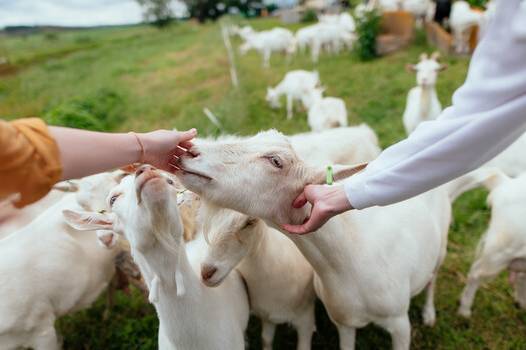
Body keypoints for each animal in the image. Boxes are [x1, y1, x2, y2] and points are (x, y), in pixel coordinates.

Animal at [176, 131, 454, 350]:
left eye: (276, 161)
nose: (190, 151)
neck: (353, 257)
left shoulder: (399, 323)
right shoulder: (345, 322)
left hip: (440, 245)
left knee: (433, 277)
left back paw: (429, 314)